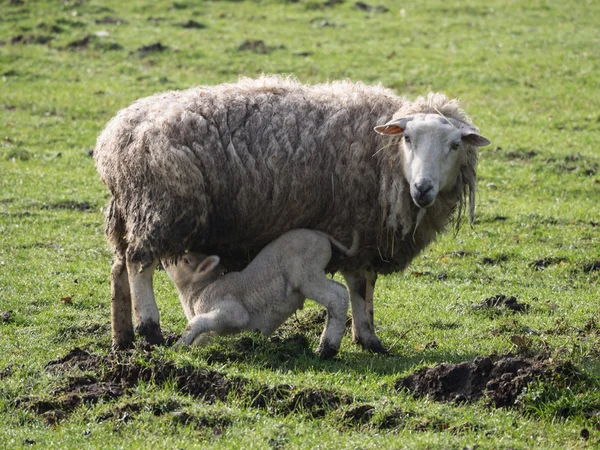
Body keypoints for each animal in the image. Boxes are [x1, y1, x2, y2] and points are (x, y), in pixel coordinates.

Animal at [164, 229, 358, 358]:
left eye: (185, 260)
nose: (165, 258)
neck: (197, 292)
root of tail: (322, 236)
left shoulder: (230, 310)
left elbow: (195, 323)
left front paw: (178, 346)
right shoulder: (213, 331)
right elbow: (202, 336)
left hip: (307, 273)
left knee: (338, 296)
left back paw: (327, 348)